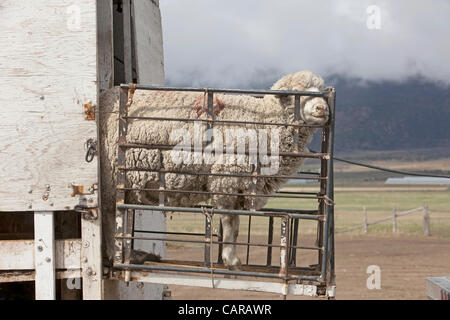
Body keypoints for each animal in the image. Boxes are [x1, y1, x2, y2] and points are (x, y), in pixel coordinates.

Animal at [100, 70, 328, 268]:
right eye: (296, 93)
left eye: (320, 90)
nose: (322, 109)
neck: (263, 123)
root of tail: (106, 97)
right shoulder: (226, 178)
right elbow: (228, 220)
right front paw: (231, 259)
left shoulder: (239, 184)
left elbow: (235, 225)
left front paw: (231, 257)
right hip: (110, 178)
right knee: (110, 215)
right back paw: (115, 253)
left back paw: (128, 253)